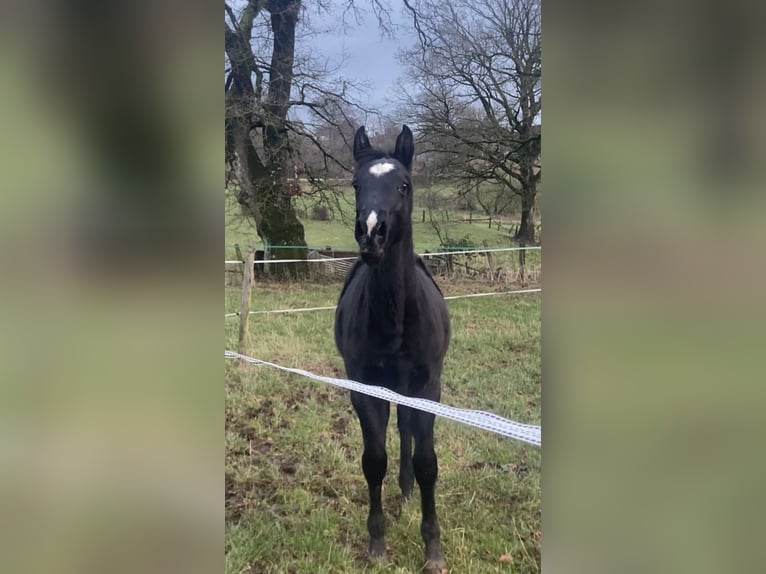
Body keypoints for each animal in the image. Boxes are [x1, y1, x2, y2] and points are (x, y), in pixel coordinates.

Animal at [334, 126, 450, 574]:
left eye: (404, 185)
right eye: (356, 184)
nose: (371, 233)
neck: (396, 322)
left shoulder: (428, 389)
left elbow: (427, 463)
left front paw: (432, 549)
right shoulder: (366, 390)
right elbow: (374, 461)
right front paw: (377, 543)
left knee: (407, 433)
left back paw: (406, 491)